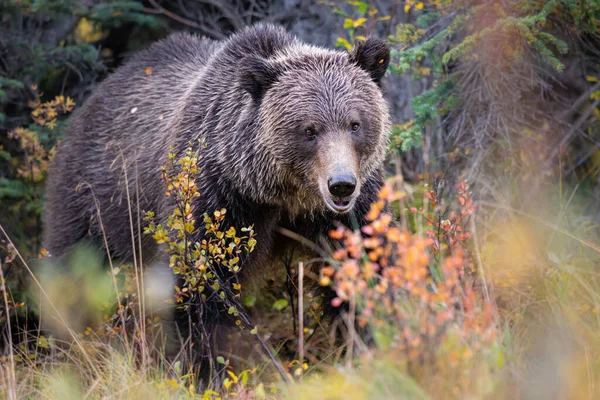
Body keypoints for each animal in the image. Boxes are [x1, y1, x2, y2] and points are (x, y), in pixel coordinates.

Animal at [41, 24, 390, 360]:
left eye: (355, 124)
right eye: (309, 130)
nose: (341, 184)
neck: (282, 196)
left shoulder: (352, 211)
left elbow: (366, 266)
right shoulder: (215, 199)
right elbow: (200, 288)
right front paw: (207, 363)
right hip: (95, 204)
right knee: (73, 277)